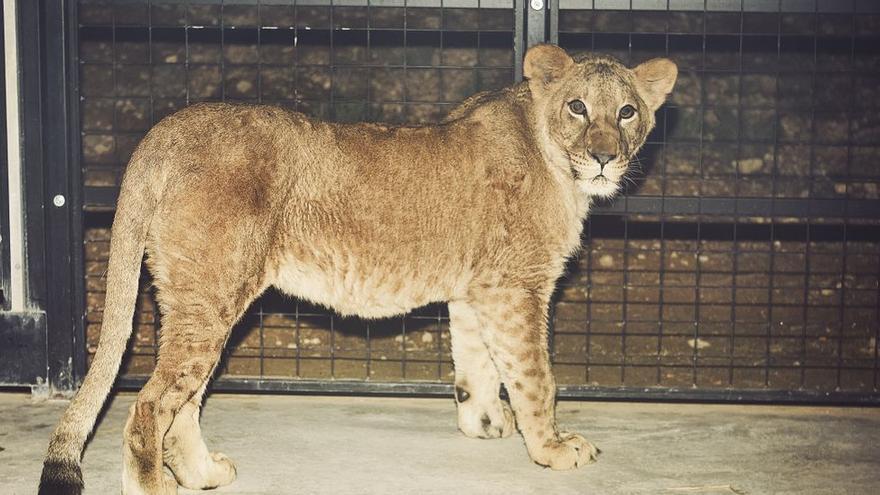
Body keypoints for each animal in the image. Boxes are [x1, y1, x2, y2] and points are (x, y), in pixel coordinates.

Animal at [37, 44, 676, 494]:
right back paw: (157, 488)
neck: (555, 159)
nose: (604, 156)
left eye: (627, 112)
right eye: (578, 107)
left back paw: (204, 475)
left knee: (185, 401)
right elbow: (535, 377)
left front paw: (484, 425)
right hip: (211, 293)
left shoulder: (478, 290)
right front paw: (553, 448)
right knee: (151, 405)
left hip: (200, 298)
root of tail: (167, 132)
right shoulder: (517, 288)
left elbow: (477, 366)